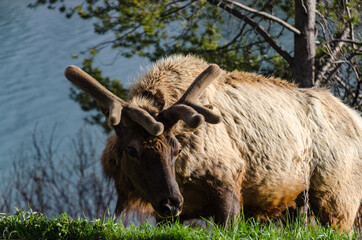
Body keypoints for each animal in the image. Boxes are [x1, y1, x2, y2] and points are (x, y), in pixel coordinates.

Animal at [65, 54, 362, 231]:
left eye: (176, 148)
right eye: (131, 150)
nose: (172, 202)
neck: (183, 179)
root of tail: (355, 118)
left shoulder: (229, 185)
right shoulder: (165, 215)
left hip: (339, 201)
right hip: (297, 204)